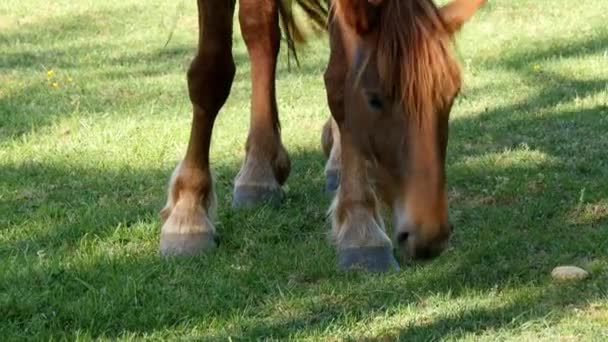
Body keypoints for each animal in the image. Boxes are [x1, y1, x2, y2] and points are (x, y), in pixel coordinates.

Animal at [157, 0, 484, 272]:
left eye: (451, 96)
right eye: (374, 99)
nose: (429, 234)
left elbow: (340, 79)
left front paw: (360, 227)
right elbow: (212, 72)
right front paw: (188, 214)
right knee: (260, 32)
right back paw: (257, 173)